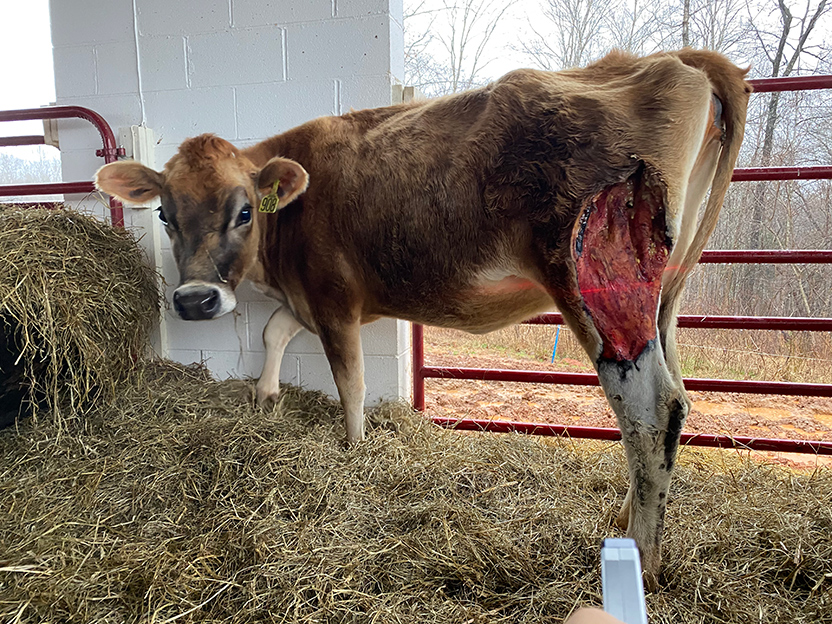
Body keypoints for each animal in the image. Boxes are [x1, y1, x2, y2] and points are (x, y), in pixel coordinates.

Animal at [97, 50, 752, 584]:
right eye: (164, 215)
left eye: (242, 212)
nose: (195, 301)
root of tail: (665, 60)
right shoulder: (304, 299)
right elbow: (273, 328)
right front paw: (266, 396)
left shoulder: (334, 299)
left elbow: (351, 381)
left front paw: (354, 448)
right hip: (660, 295)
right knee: (676, 397)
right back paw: (625, 515)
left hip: (593, 283)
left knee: (650, 408)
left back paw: (640, 555)